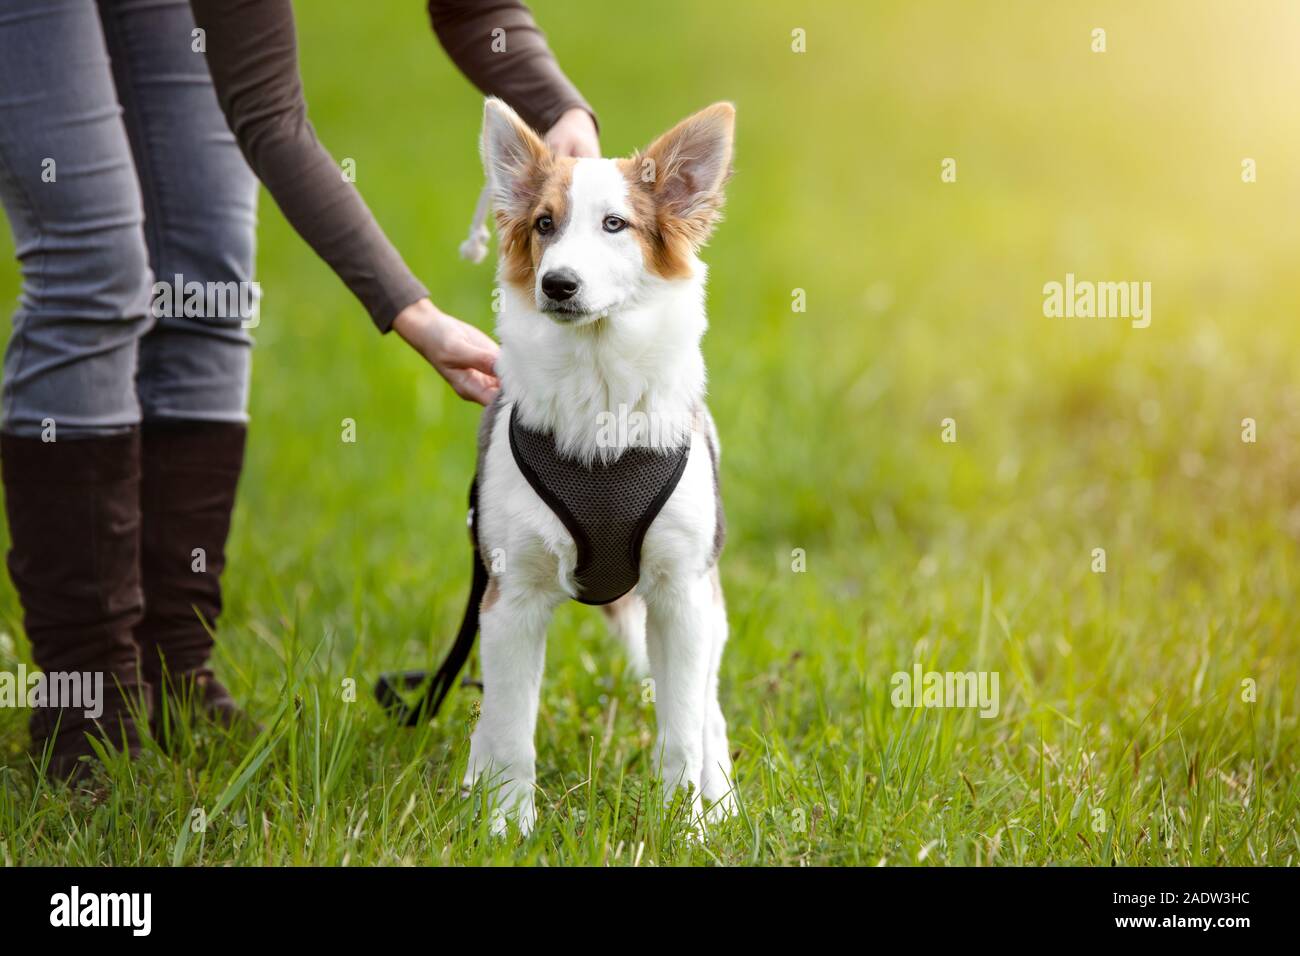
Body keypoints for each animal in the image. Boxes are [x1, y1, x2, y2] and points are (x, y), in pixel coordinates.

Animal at [470, 95, 738, 832]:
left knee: (708, 713)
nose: (557, 283)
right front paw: (505, 830)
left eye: (615, 224)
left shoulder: (680, 595)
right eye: (544, 224)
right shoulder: (511, 598)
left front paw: (683, 827)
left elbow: (681, 732)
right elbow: (510, 732)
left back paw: (721, 800)